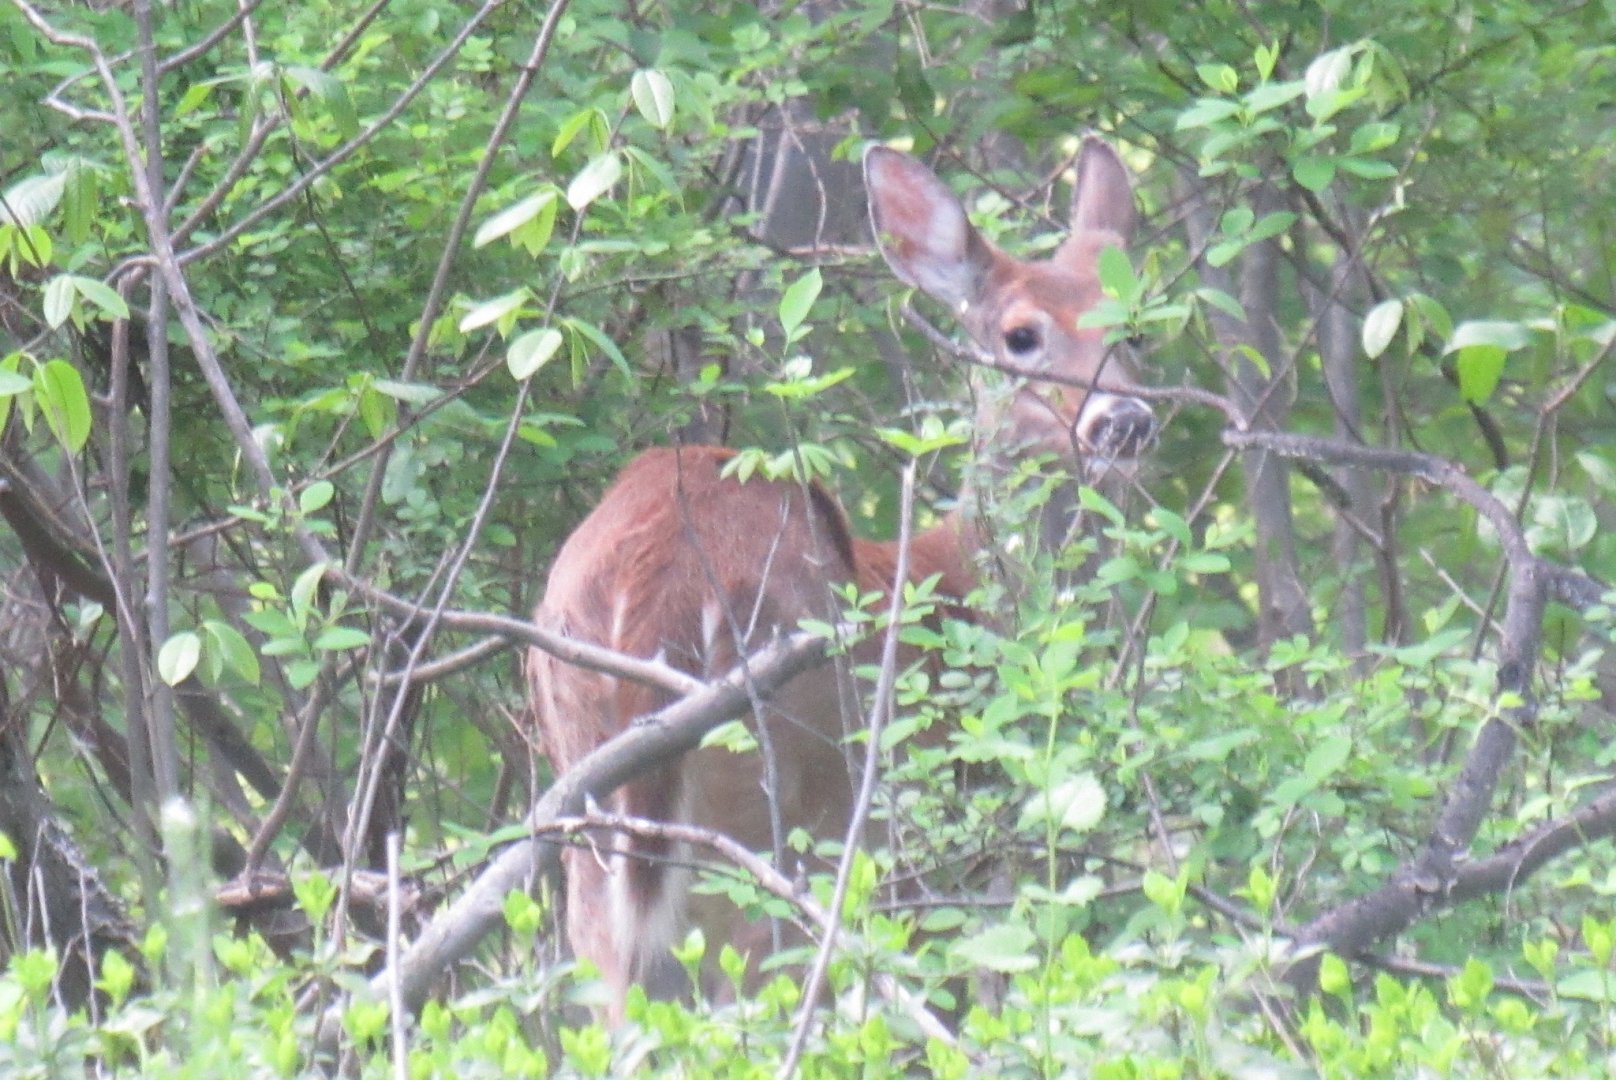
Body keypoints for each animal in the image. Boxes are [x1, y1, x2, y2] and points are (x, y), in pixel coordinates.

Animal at [526, 135, 1154, 1023]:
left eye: (1135, 331)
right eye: (1020, 336)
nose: (1124, 421)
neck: (960, 581)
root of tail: (665, 575)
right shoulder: (939, 839)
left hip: (583, 791)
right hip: (794, 805)